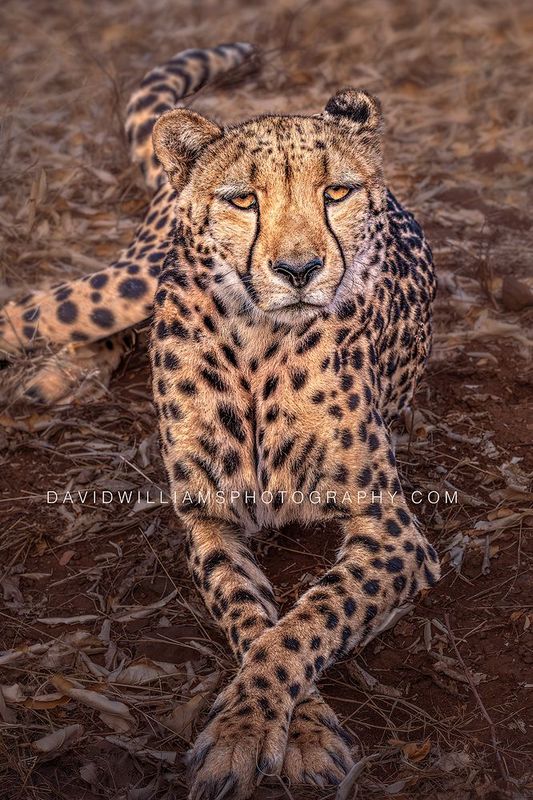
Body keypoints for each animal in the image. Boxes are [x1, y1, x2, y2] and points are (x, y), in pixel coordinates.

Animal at [0, 43, 440, 800]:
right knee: (28, 313)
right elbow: (253, 619)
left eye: (337, 193)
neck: (259, 342)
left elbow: (303, 622)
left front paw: (271, 731)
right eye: (243, 199)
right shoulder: (208, 520)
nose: (299, 269)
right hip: (130, 281)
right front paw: (264, 731)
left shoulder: (393, 532)